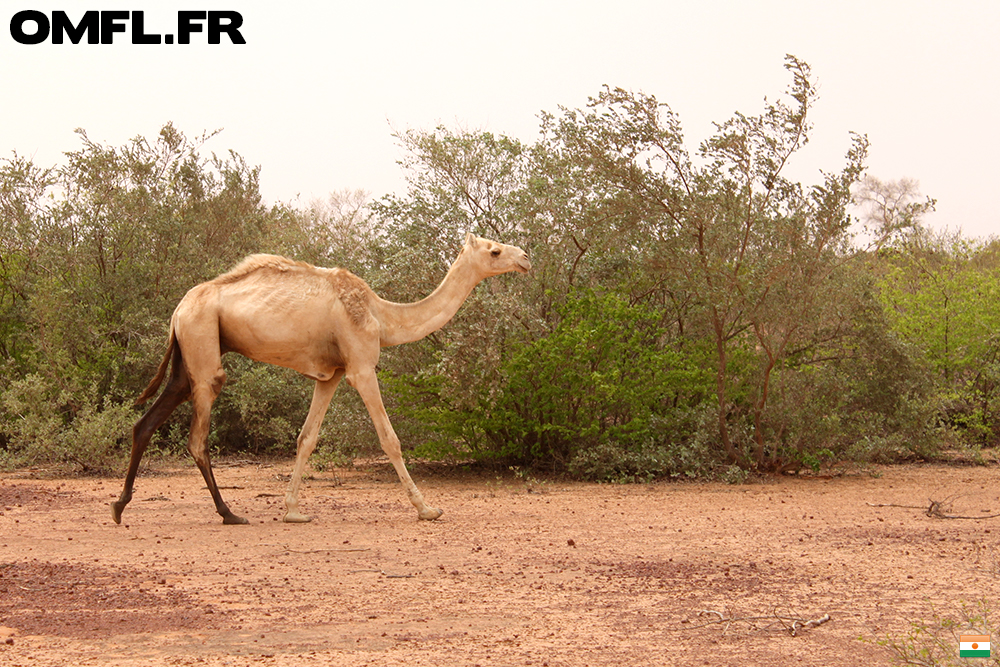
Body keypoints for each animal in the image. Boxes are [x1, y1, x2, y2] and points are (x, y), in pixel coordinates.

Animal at [112, 235, 532, 528]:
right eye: (495, 251)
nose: (525, 257)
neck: (382, 316)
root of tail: (178, 310)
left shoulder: (332, 375)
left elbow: (306, 437)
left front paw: (293, 511)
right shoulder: (361, 367)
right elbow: (390, 439)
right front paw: (427, 508)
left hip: (187, 358)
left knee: (144, 424)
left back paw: (119, 506)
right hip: (202, 346)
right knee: (198, 437)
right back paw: (229, 513)